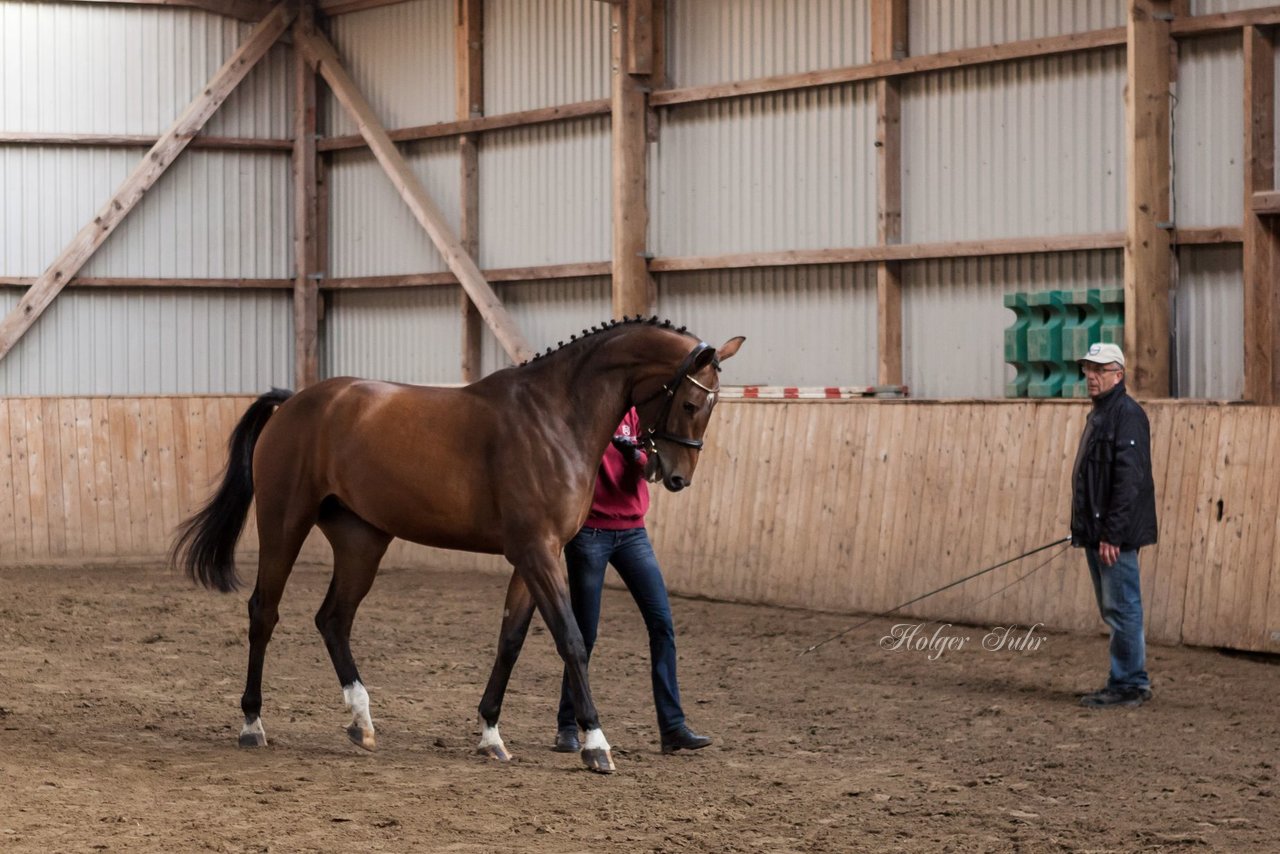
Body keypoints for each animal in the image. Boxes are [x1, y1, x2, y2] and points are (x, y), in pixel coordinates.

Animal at [175, 318, 747, 773]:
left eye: (713, 404)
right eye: (691, 401)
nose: (675, 476)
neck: (554, 417)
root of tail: (294, 401)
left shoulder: (532, 556)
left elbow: (510, 641)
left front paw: (491, 735)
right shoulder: (538, 553)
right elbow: (572, 639)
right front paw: (595, 744)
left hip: (362, 540)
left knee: (333, 619)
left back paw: (362, 722)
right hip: (284, 524)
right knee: (264, 613)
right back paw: (252, 724)